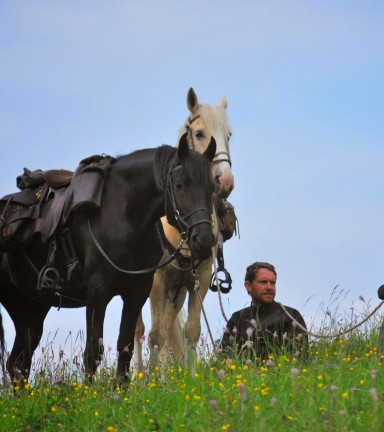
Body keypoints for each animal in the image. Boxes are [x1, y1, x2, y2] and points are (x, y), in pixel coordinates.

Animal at [132, 88, 234, 372]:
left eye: (229, 135)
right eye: (199, 133)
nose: (226, 182)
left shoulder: (199, 277)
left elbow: (190, 331)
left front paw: (190, 375)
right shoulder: (156, 282)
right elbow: (154, 335)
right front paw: (151, 379)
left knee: (168, 327)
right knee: (139, 330)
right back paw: (140, 373)